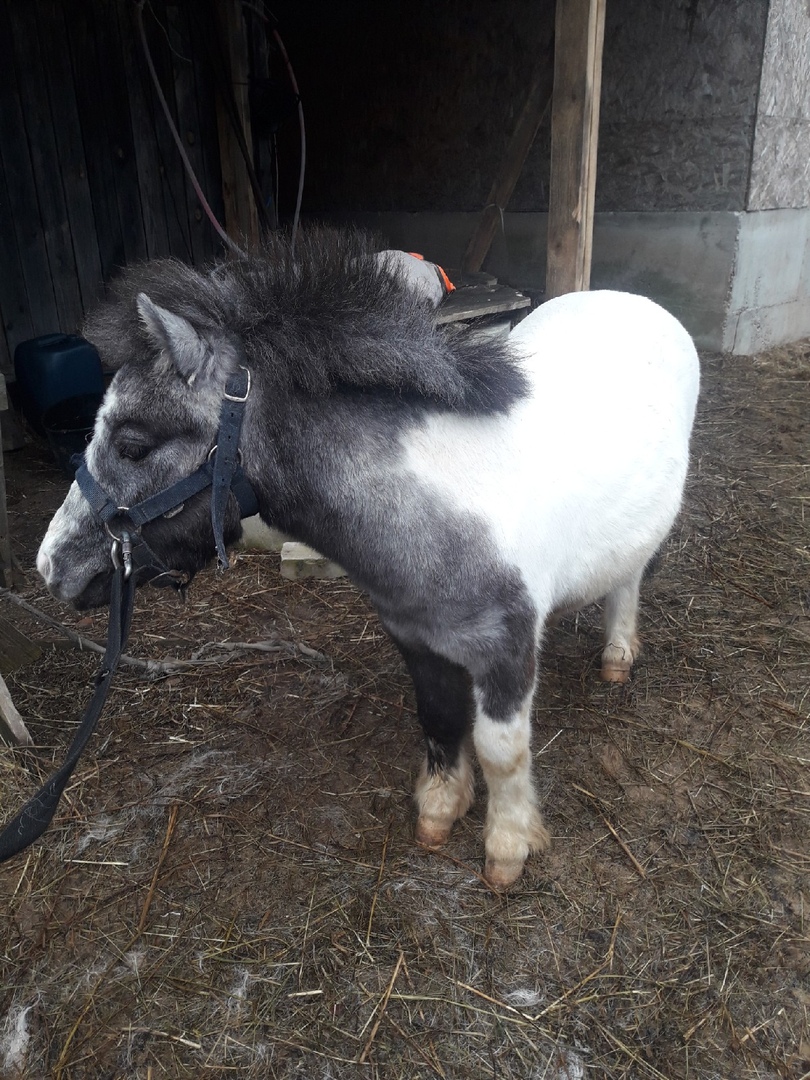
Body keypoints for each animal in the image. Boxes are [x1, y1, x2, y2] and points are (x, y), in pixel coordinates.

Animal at [37, 227, 700, 890]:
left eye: (133, 442)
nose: (52, 567)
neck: (437, 515)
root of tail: (636, 302)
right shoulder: (417, 640)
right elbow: (438, 719)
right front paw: (439, 812)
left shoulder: (507, 655)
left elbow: (501, 752)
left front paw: (508, 846)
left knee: (629, 581)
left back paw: (618, 655)